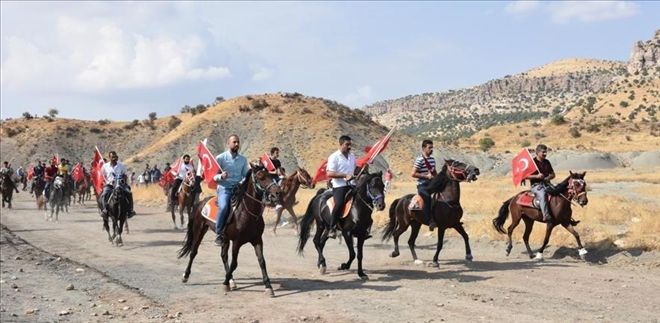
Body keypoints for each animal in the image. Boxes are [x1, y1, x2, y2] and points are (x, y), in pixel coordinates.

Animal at [179, 166, 282, 298]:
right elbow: (234, 263)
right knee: (193, 252)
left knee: (223, 256)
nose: (277, 193)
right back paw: (186, 276)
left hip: (225, 239)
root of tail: (201, 203)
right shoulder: (237, 242)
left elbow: (262, 261)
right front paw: (225, 283)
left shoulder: (257, 240)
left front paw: (268, 287)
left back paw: (232, 281)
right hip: (199, 230)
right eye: (260, 176)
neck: (247, 213)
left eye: (271, 175)